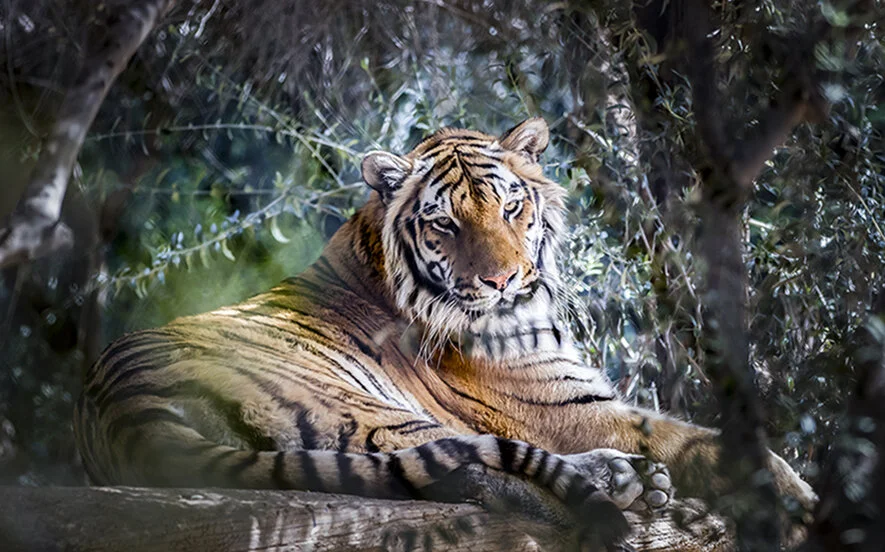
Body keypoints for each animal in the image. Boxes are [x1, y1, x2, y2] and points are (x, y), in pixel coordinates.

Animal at [74, 118, 816, 550]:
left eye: (512, 208)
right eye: (444, 224)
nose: (504, 281)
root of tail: (118, 407)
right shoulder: (572, 410)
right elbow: (699, 438)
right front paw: (798, 500)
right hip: (362, 405)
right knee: (477, 470)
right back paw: (630, 486)